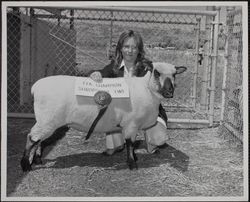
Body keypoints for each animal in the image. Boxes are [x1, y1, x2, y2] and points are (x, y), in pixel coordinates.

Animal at [21, 62, 186, 171]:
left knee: (39, 140)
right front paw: (132, 164)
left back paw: (38, 160)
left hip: (46, 120)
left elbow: (131, 144)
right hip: (48, 120)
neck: (146, 88)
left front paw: (134, 158)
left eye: (174, 74)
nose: (169, 92)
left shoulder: (132, 125)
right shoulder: (131, 124)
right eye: (156, 72)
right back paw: (25, 165)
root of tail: (35, 87)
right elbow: (130, 143)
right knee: (32, 138)